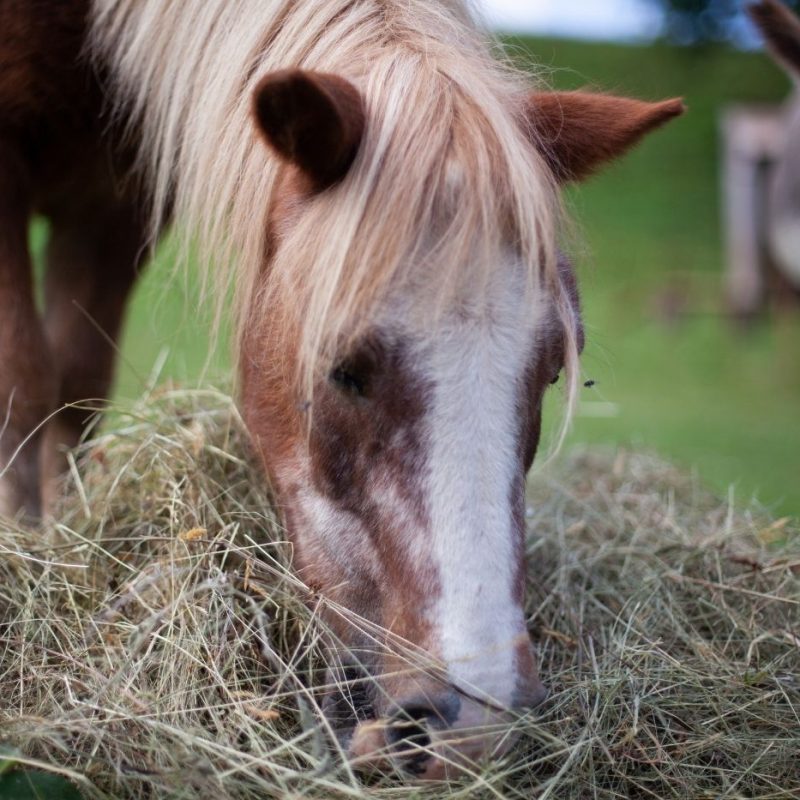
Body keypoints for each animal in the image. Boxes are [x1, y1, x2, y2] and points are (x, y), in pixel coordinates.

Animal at [1, 0, 680, 780]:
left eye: (552, 371)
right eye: (344, 370)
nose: (472, 725)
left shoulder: (117, 203)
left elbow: (75, 386)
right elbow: (25, 379)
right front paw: (29, 547)